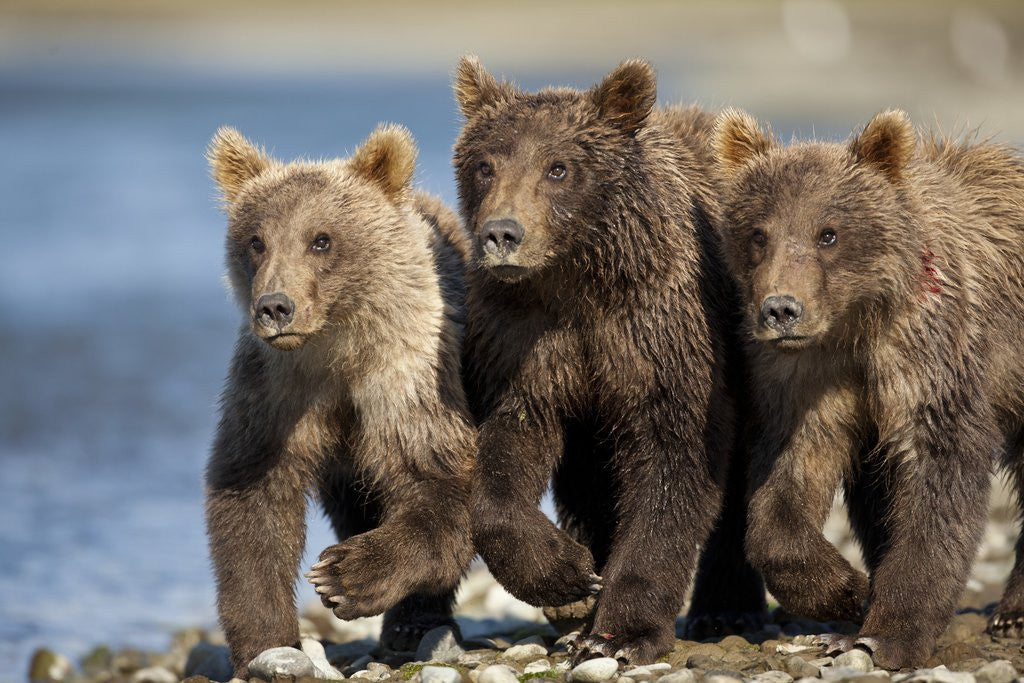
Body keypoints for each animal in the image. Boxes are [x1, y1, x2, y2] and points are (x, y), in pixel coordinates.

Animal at [204, 124, 476, 677]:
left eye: (321, 239)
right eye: (256, 240)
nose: (275, 307)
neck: (337, 347)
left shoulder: (409, 377)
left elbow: (436, 481)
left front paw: (345, 575)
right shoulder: (275, 393)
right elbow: (251, 505)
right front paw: (266, 644)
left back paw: (413, 625)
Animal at [450, 55, 766, 664]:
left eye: (558, 167)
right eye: (485, 165)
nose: (502, 233)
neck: (578, 282)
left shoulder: (661, 333)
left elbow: (672, 464)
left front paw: (622, 632)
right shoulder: (525, 342)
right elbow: (509, 447)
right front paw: (568, 574)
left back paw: (726, 607)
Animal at [711, 107, 1024, 669]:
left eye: (828, 233)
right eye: (758, 233)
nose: (781, 309)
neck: (855, 324)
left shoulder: (931, 355)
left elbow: (939, 481)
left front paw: (889, 632)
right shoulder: (807, 381)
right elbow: (784, 488)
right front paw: (848, 591)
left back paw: (1012, 614)